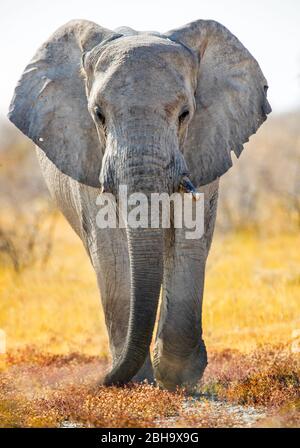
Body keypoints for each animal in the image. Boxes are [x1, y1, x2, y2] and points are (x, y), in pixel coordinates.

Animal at [7, 18, 272, 388]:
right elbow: (112, 249)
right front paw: (138, 383)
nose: (100, 379)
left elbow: (188, 239)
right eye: (98, 115)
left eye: (185, 114)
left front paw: (178, 378)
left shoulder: (204, 143)